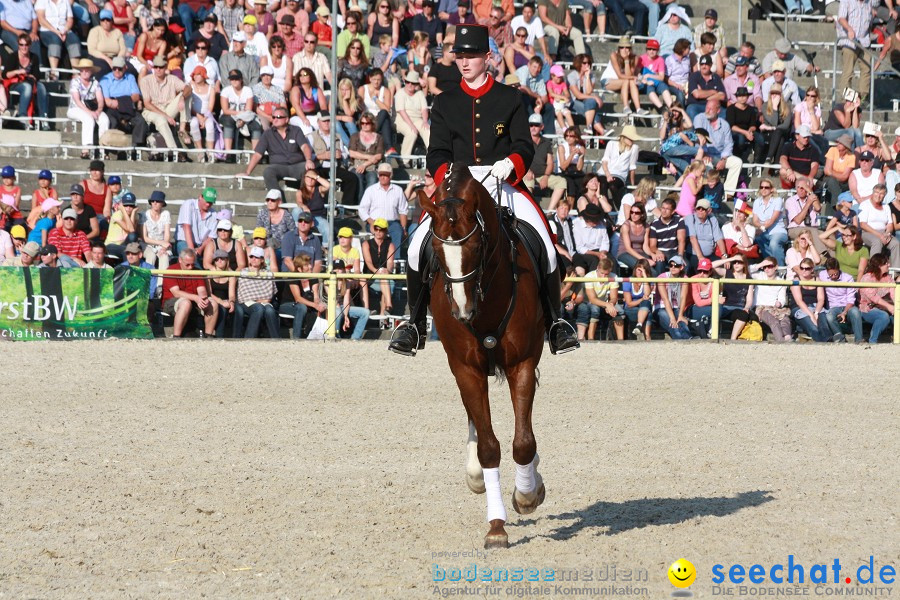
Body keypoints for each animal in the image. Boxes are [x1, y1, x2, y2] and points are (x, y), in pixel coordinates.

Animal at [420, 164, 548, 548]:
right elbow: (489, 447)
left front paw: (526, 495)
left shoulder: (522, 362)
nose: (462, 311)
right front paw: (496, 526)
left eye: (477, 246)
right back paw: (476, 474)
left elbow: (523, 442)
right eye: (436, 247)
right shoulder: (466, 368)